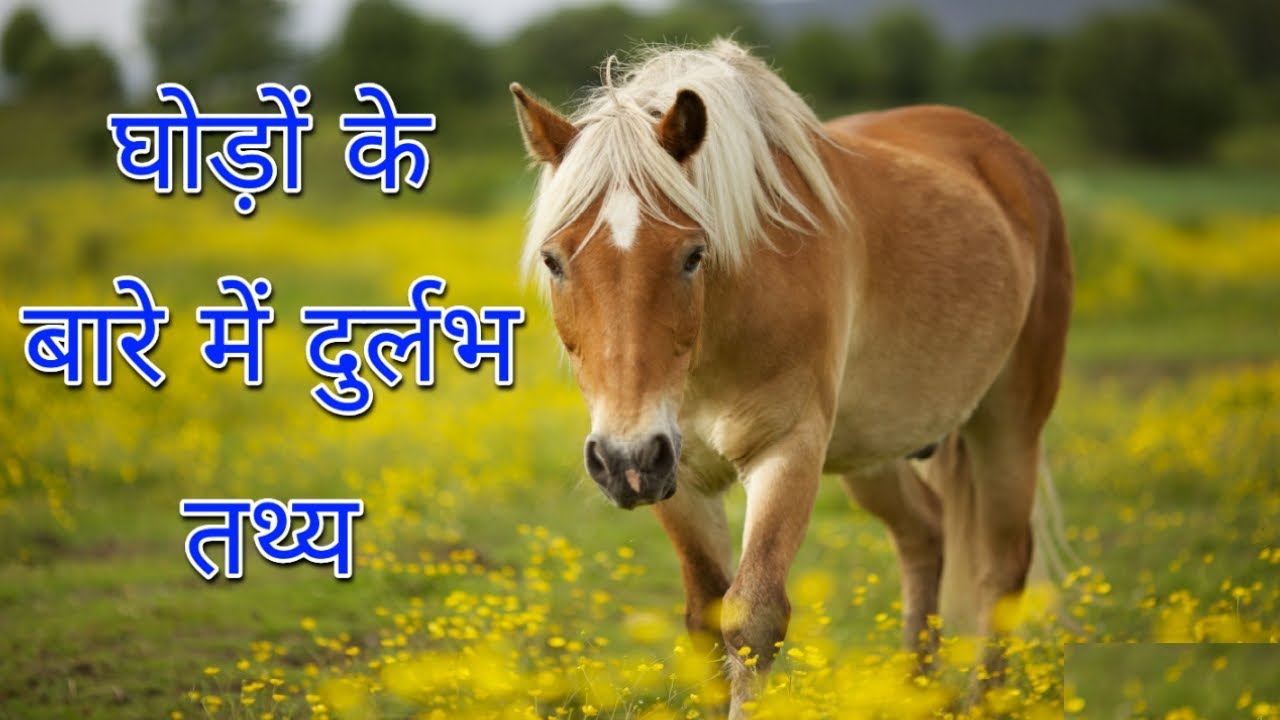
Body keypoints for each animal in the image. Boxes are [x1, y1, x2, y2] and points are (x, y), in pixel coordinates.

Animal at [510, 39, 1072, 717]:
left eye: (692, 255)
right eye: (554, 260)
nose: (626, 459)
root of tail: (1010, 159)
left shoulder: (788, 450)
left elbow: (753, 618)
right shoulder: (681, 475)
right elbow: (705, 618)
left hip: (1008, 423)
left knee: (1003, 570)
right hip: (873, 449)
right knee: (925, 534)